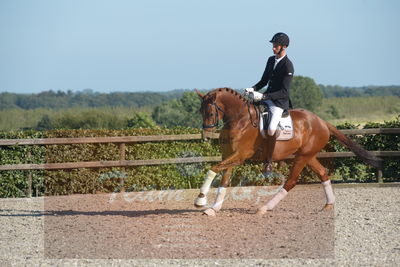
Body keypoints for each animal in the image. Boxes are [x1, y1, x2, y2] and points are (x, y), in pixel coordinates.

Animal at [194, 88, 382, 218]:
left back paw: (265, 207)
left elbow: (212, 169)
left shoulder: (239, 156)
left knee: (291, 181)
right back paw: (328, 205)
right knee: (322, 173)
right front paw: (213, 209)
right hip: (308, 156)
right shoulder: (230, 157)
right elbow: (224, 181)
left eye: (210, 112)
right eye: (200, 112)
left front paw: (200, 200)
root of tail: (322, 122)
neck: (240, 120)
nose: (206, 136)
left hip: (302, 157)